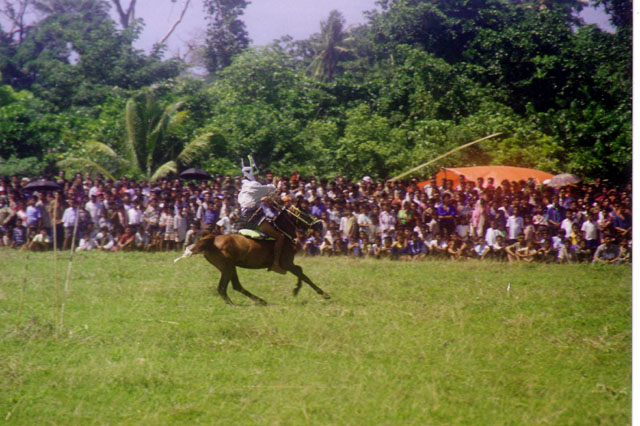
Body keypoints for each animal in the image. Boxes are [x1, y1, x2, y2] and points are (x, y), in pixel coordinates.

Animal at [181, 204, 328, 306]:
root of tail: (212, 240)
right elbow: (303, 275)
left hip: (230, 267)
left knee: (236, 286)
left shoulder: (289, 264)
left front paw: (296, 289)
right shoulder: (287, 263)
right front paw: (323, 293)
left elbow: (301, 272)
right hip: (227, 268)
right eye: (306, 213)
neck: (283, 232)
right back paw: (235, 304)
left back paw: (260, 301)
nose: (319, 225)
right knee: (223, 288)